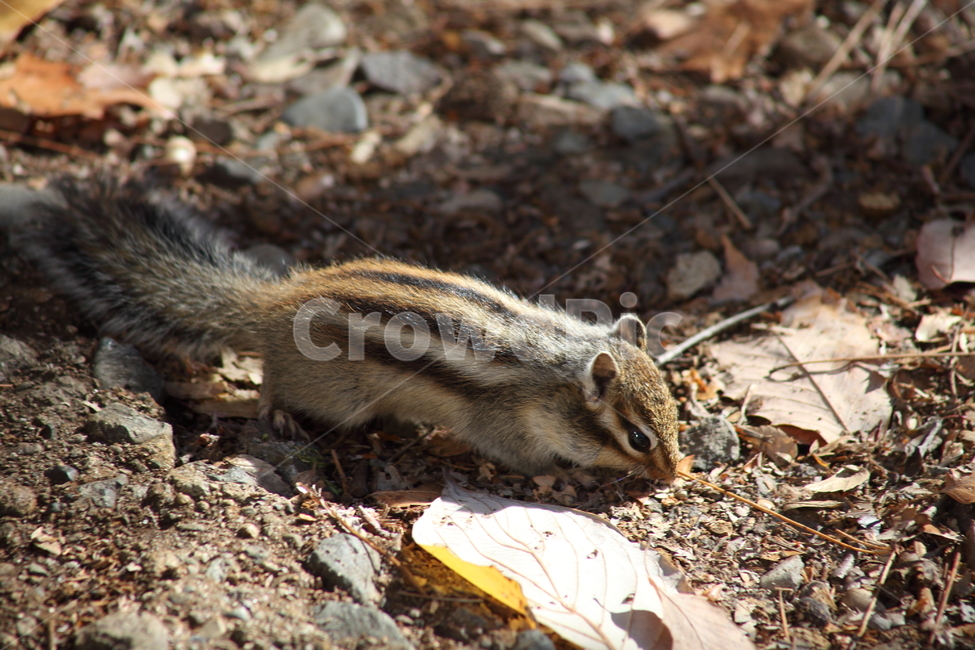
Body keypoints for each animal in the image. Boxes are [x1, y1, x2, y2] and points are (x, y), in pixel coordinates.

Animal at [21, 178, 681, 479]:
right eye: (638, 439)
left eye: (677, 420)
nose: (672, 475)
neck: (557, 375)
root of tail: (273, 304)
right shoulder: (506, 425)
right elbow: (523, 458)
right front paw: (561, 473)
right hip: (333, 394)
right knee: (271, 385)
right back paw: (278, 415)